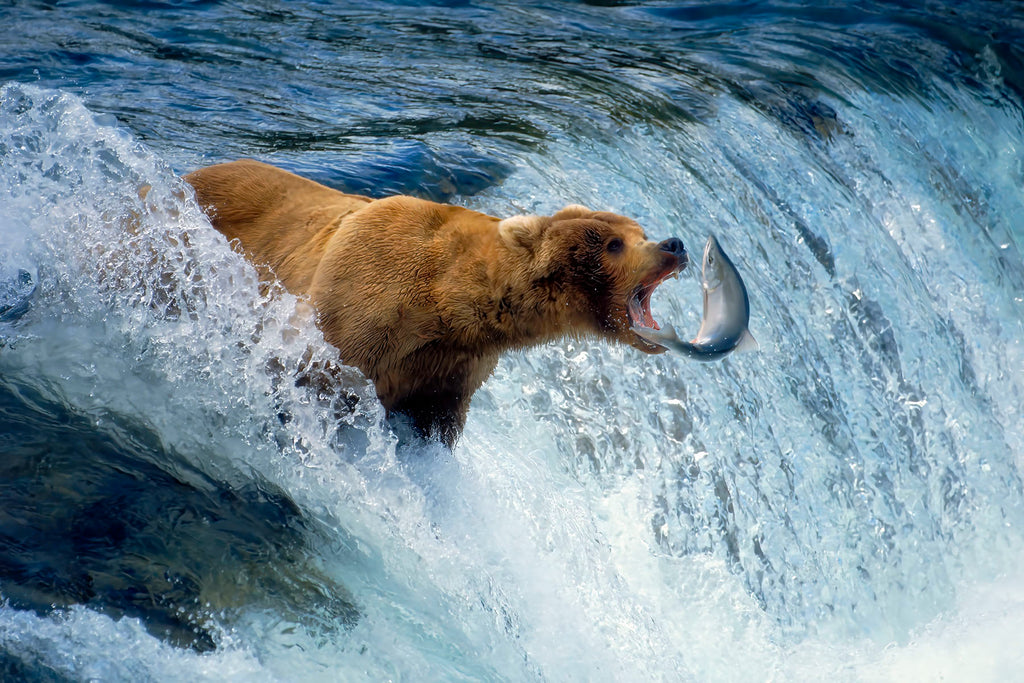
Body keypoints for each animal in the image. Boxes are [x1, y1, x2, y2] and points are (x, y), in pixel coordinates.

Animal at [184, 159, 688, 446]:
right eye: (615, 244)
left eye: (638, 231)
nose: (675, 243)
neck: (448, 305)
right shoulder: (360, 308)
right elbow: (304, 379)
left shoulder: (450, 368)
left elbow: (435, 423)